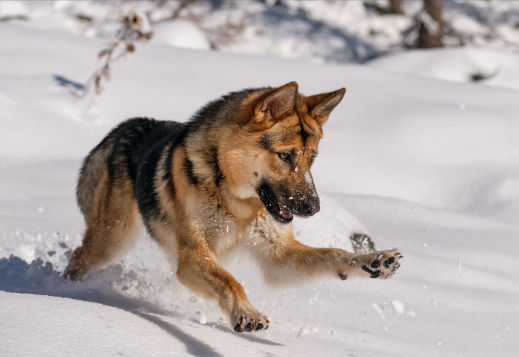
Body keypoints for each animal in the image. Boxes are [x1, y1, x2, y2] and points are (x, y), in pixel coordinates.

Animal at [65, 82, 404, 332]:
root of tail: (126, 126)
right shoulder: (192, 256)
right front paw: (246, 313)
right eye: (285, 156)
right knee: (78, 258)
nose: (314, 208)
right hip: (112, 241)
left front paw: (374, 261)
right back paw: (67, 292)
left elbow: (334, 254)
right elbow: (231, 280)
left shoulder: (278, 257)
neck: (236, 202)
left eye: (313, 158)